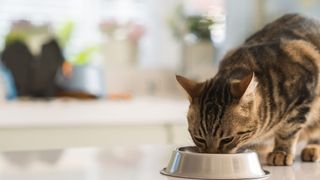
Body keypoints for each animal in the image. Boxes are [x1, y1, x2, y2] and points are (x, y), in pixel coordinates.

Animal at [176, 13, 320, 166]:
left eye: (227, 139)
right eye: (199, 139)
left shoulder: (304, 92)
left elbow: (288, 129)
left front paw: (281, 152)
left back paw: (313, 148)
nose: (211, 156)